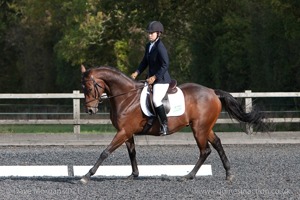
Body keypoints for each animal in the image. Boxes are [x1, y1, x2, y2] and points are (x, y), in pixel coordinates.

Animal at [79, 65, 264, 184]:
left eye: (89, 88)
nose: (90, 110)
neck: (126, 97)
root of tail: (212, 92)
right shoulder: (127, 132)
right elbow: (132, 153)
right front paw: (133, 175)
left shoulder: (124, 131)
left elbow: (105, 152)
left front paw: (87, 175)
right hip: (205, 128)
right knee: (217, 144)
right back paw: (228, 174)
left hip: (199, 129)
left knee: (205, 150)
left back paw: (188, 176)